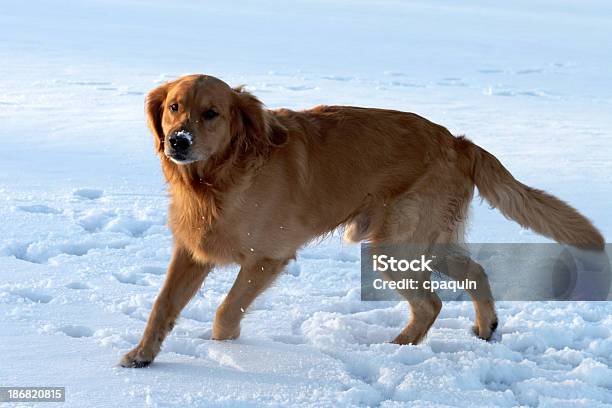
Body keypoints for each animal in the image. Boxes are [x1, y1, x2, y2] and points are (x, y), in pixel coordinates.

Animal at [119, 75, 604, 368]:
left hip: (392, 245)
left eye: (212, 113)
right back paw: (486, 329)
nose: (178, 142)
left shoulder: (267, 258)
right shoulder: (191, 252)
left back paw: (397, 349)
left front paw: (231, 353)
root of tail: (458, 141)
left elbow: (225, 312)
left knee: (431, 303)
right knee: (476, 272)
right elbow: (162, 306)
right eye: (174, 107)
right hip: (426, 242)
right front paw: (142, 356)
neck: (220, 178)